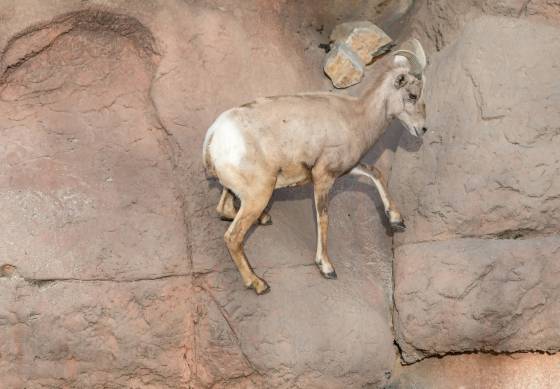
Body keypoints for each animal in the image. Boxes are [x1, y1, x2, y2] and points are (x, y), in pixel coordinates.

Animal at [203, 40, 426, 294]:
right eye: (412, 95)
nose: (422, 129)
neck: (357, 116)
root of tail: (214, 135)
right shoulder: (323, 177)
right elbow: (324, 218)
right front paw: (327, 267)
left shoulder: (346, 168)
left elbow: (376, 173)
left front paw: (397, 221)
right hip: (259, 194)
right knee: (232, 237)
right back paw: (258, 283)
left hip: (238, 191)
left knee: (223, 210)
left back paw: (264, 219)